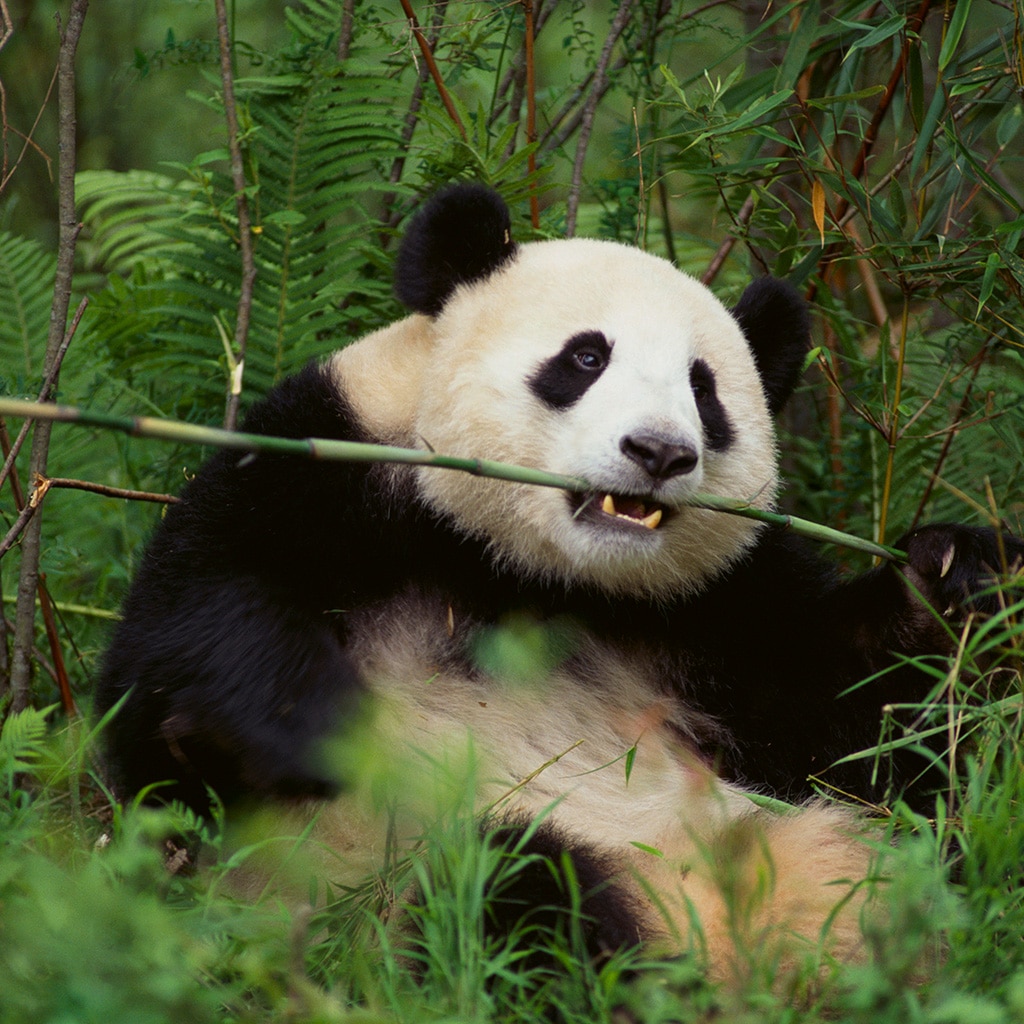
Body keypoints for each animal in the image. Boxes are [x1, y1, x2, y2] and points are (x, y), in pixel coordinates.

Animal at [94, 184, 1015, 983]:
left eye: (704, 390)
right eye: (586, 356)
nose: (659, 452)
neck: (536, 577)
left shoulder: (717, 606)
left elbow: (845, 719)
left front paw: (957, 578)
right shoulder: (330, 464)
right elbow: (183, 641)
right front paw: (306, 727)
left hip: (836, 857)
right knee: (514, 885)